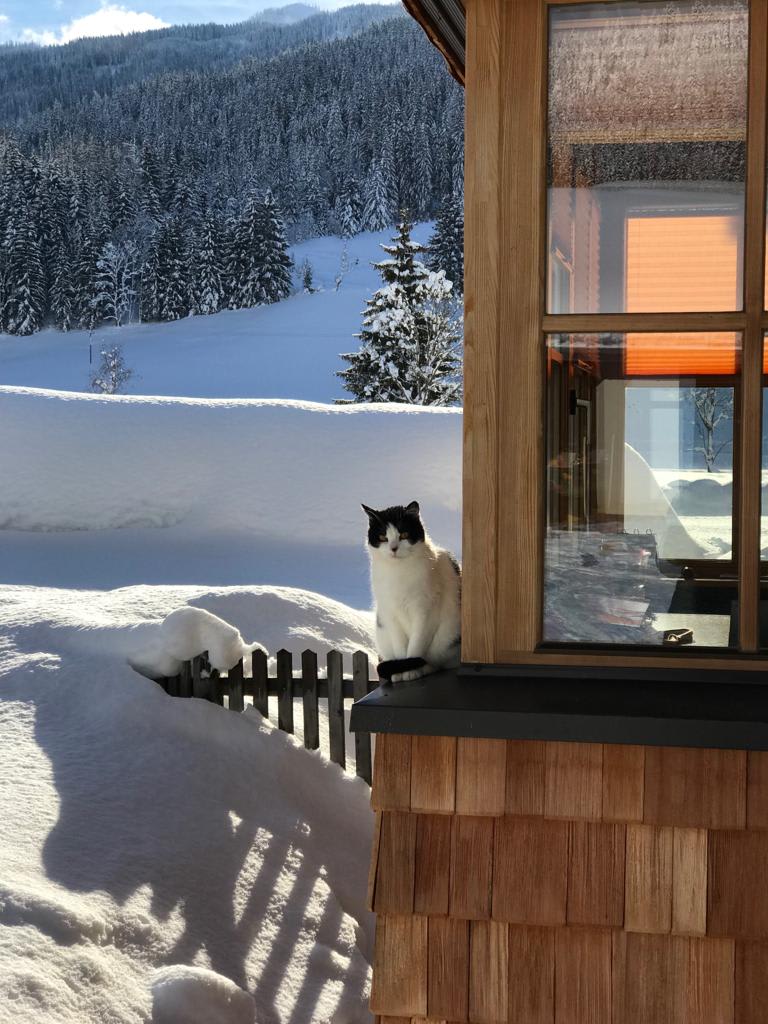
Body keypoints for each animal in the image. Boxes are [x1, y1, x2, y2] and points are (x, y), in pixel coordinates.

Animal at [362, 500, 461, 682]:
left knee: (437, 663)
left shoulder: (424, 613)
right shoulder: (391, 614)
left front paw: (412, 671)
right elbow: (401, 649)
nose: (393, 548)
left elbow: (416, 646)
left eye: (404, 534)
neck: (398, 572)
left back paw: (424, 668)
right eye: (383, 537)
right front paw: (401, 672)